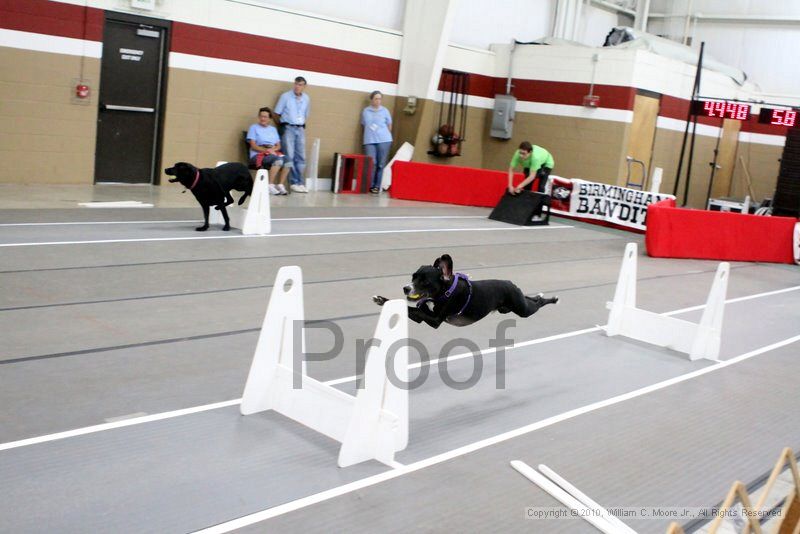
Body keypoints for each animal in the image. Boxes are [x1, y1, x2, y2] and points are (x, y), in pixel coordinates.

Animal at [374, 253, 556, 328]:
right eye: (413, 277)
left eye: (424, 282)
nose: (406, 288)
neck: (445, 292)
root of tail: (511, 283)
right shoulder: (423, 315)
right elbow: (412, 308)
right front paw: (381, 299)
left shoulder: (434, 320)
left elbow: (413, 309)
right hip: (511, 306)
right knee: (530, 299)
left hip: (522, 309)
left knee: (537, 304)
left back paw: (553, 299)